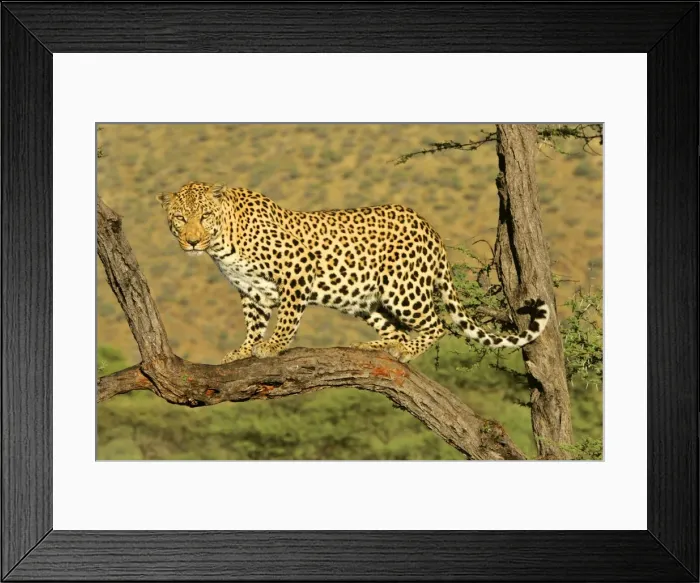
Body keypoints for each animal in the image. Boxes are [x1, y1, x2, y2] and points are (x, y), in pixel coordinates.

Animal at [156, 181, 550, 364]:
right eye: (180, 218)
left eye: (204, 216)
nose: (192, 241)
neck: (223, 242)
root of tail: (431, 230)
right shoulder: (250, 289)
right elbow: (253, 323)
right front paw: (243, 350)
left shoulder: (297, 270)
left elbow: (286, 319)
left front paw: (273, 346)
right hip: (363, 298)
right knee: (396, 331)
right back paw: (371, 345)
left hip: (401, 287)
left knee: (434, 325)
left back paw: (405, 352)